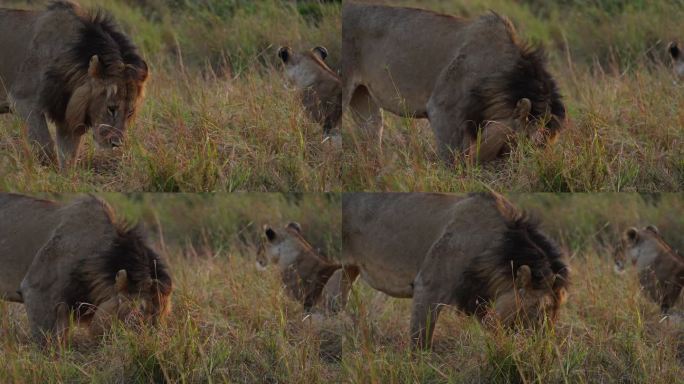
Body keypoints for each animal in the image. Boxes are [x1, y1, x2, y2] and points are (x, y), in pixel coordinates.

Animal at [0, 1, 149, 167]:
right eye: (111, 109)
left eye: (130, 112)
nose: (116, 144)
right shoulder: (23, 101)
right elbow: (46, 148)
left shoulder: (67, 118)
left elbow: (69, 159)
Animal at [260, 192, 568, 348]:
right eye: (537, 311)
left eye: (555, 314)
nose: (542, 348)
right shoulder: (428, 286)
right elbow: (420, 339)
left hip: (349, 268)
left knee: (334, 300)